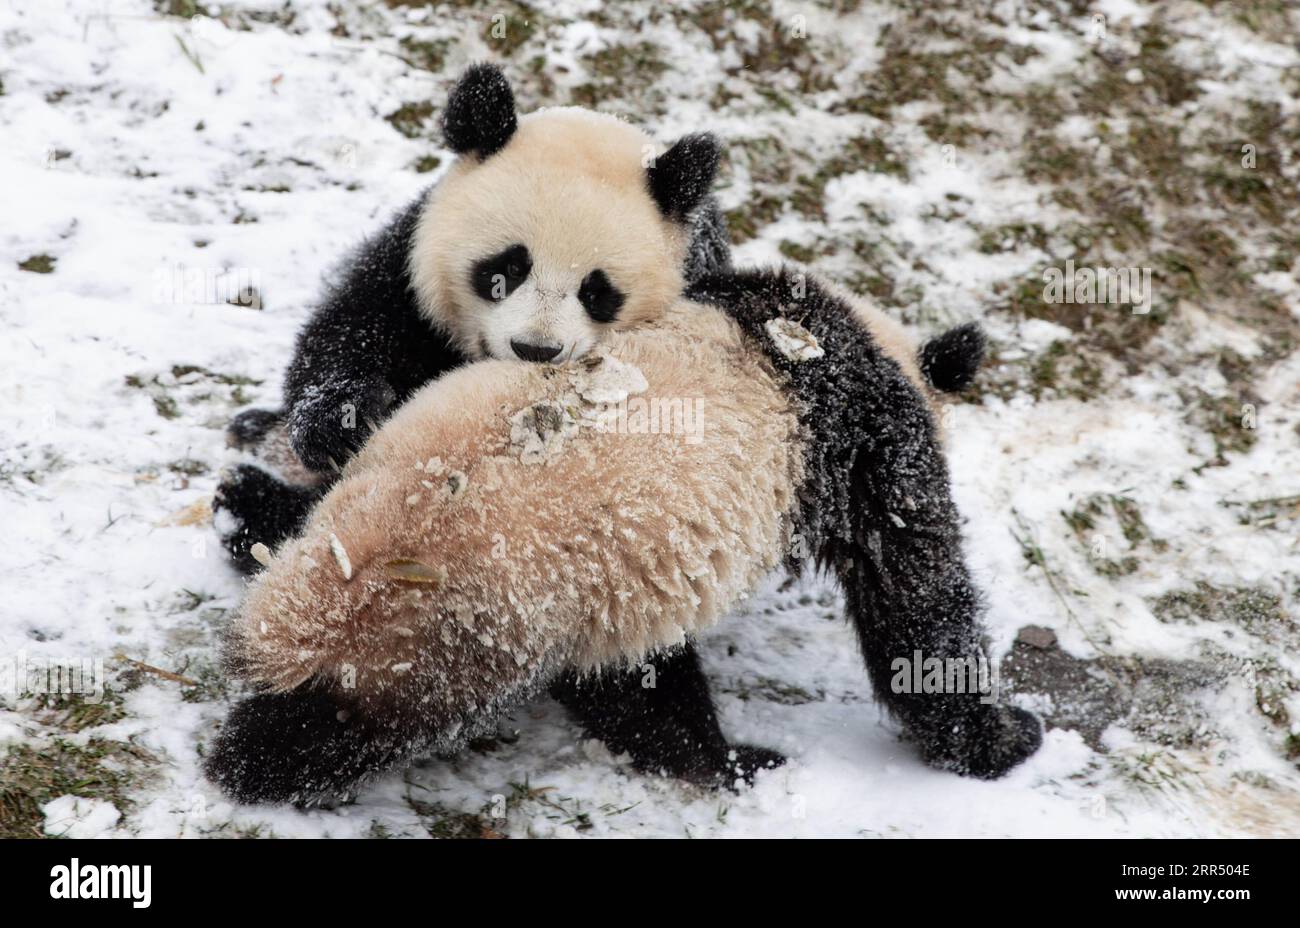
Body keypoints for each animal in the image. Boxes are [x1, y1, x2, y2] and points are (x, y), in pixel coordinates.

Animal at [208, 263, 1040, 800]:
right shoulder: (866, 437)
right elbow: (913, 598)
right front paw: (1003, 738)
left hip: (563, 583)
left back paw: (247, 509)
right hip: (470, 627)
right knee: (363, 725)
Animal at [218, 61, 738, 571]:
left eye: (597, 292)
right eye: (505, 269)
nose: (534, 349)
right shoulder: (411, 268)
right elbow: (353, 327)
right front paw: (338, 423)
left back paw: (248, 503)